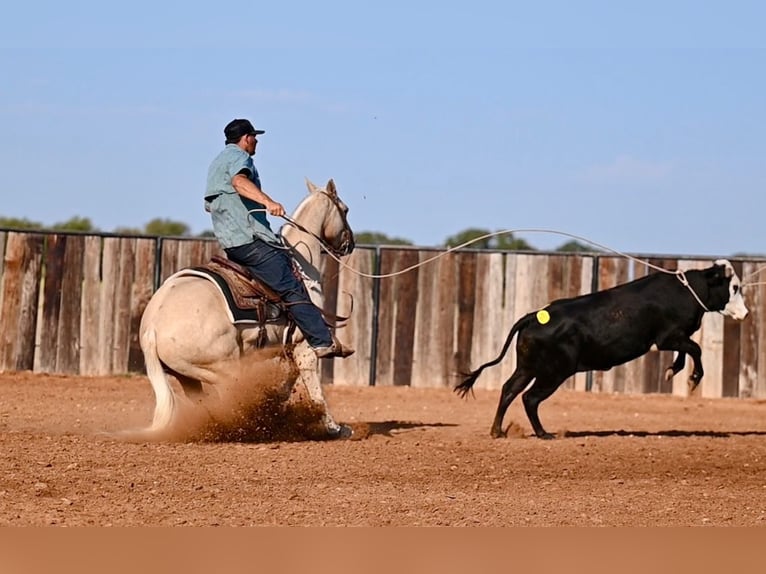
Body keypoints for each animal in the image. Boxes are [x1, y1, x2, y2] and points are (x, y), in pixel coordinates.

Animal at [140, 180, 356, 440]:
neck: (301, 262)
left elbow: (289, 381)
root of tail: (152, 327)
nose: (350, 244)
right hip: (225, 371)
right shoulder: (304, 346)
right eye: (345, 210)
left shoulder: (288, 348)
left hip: (188, 376)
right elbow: (314, 387)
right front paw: (335, 428)